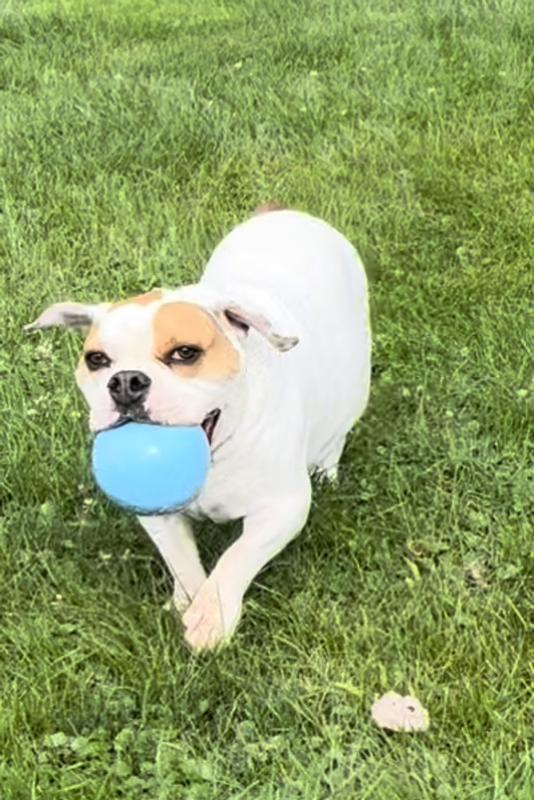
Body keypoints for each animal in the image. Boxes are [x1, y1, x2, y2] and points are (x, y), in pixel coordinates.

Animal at [25, 206, 372, 648]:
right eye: (97, 360)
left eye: (185, 353)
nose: (126, 382)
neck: (217, 451)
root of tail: (284, 212)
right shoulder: (157, 515)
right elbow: (181, 559)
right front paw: (188, 600)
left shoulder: (283, 509)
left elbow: (237, 557)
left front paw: (212, 615)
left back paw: (327, 469)